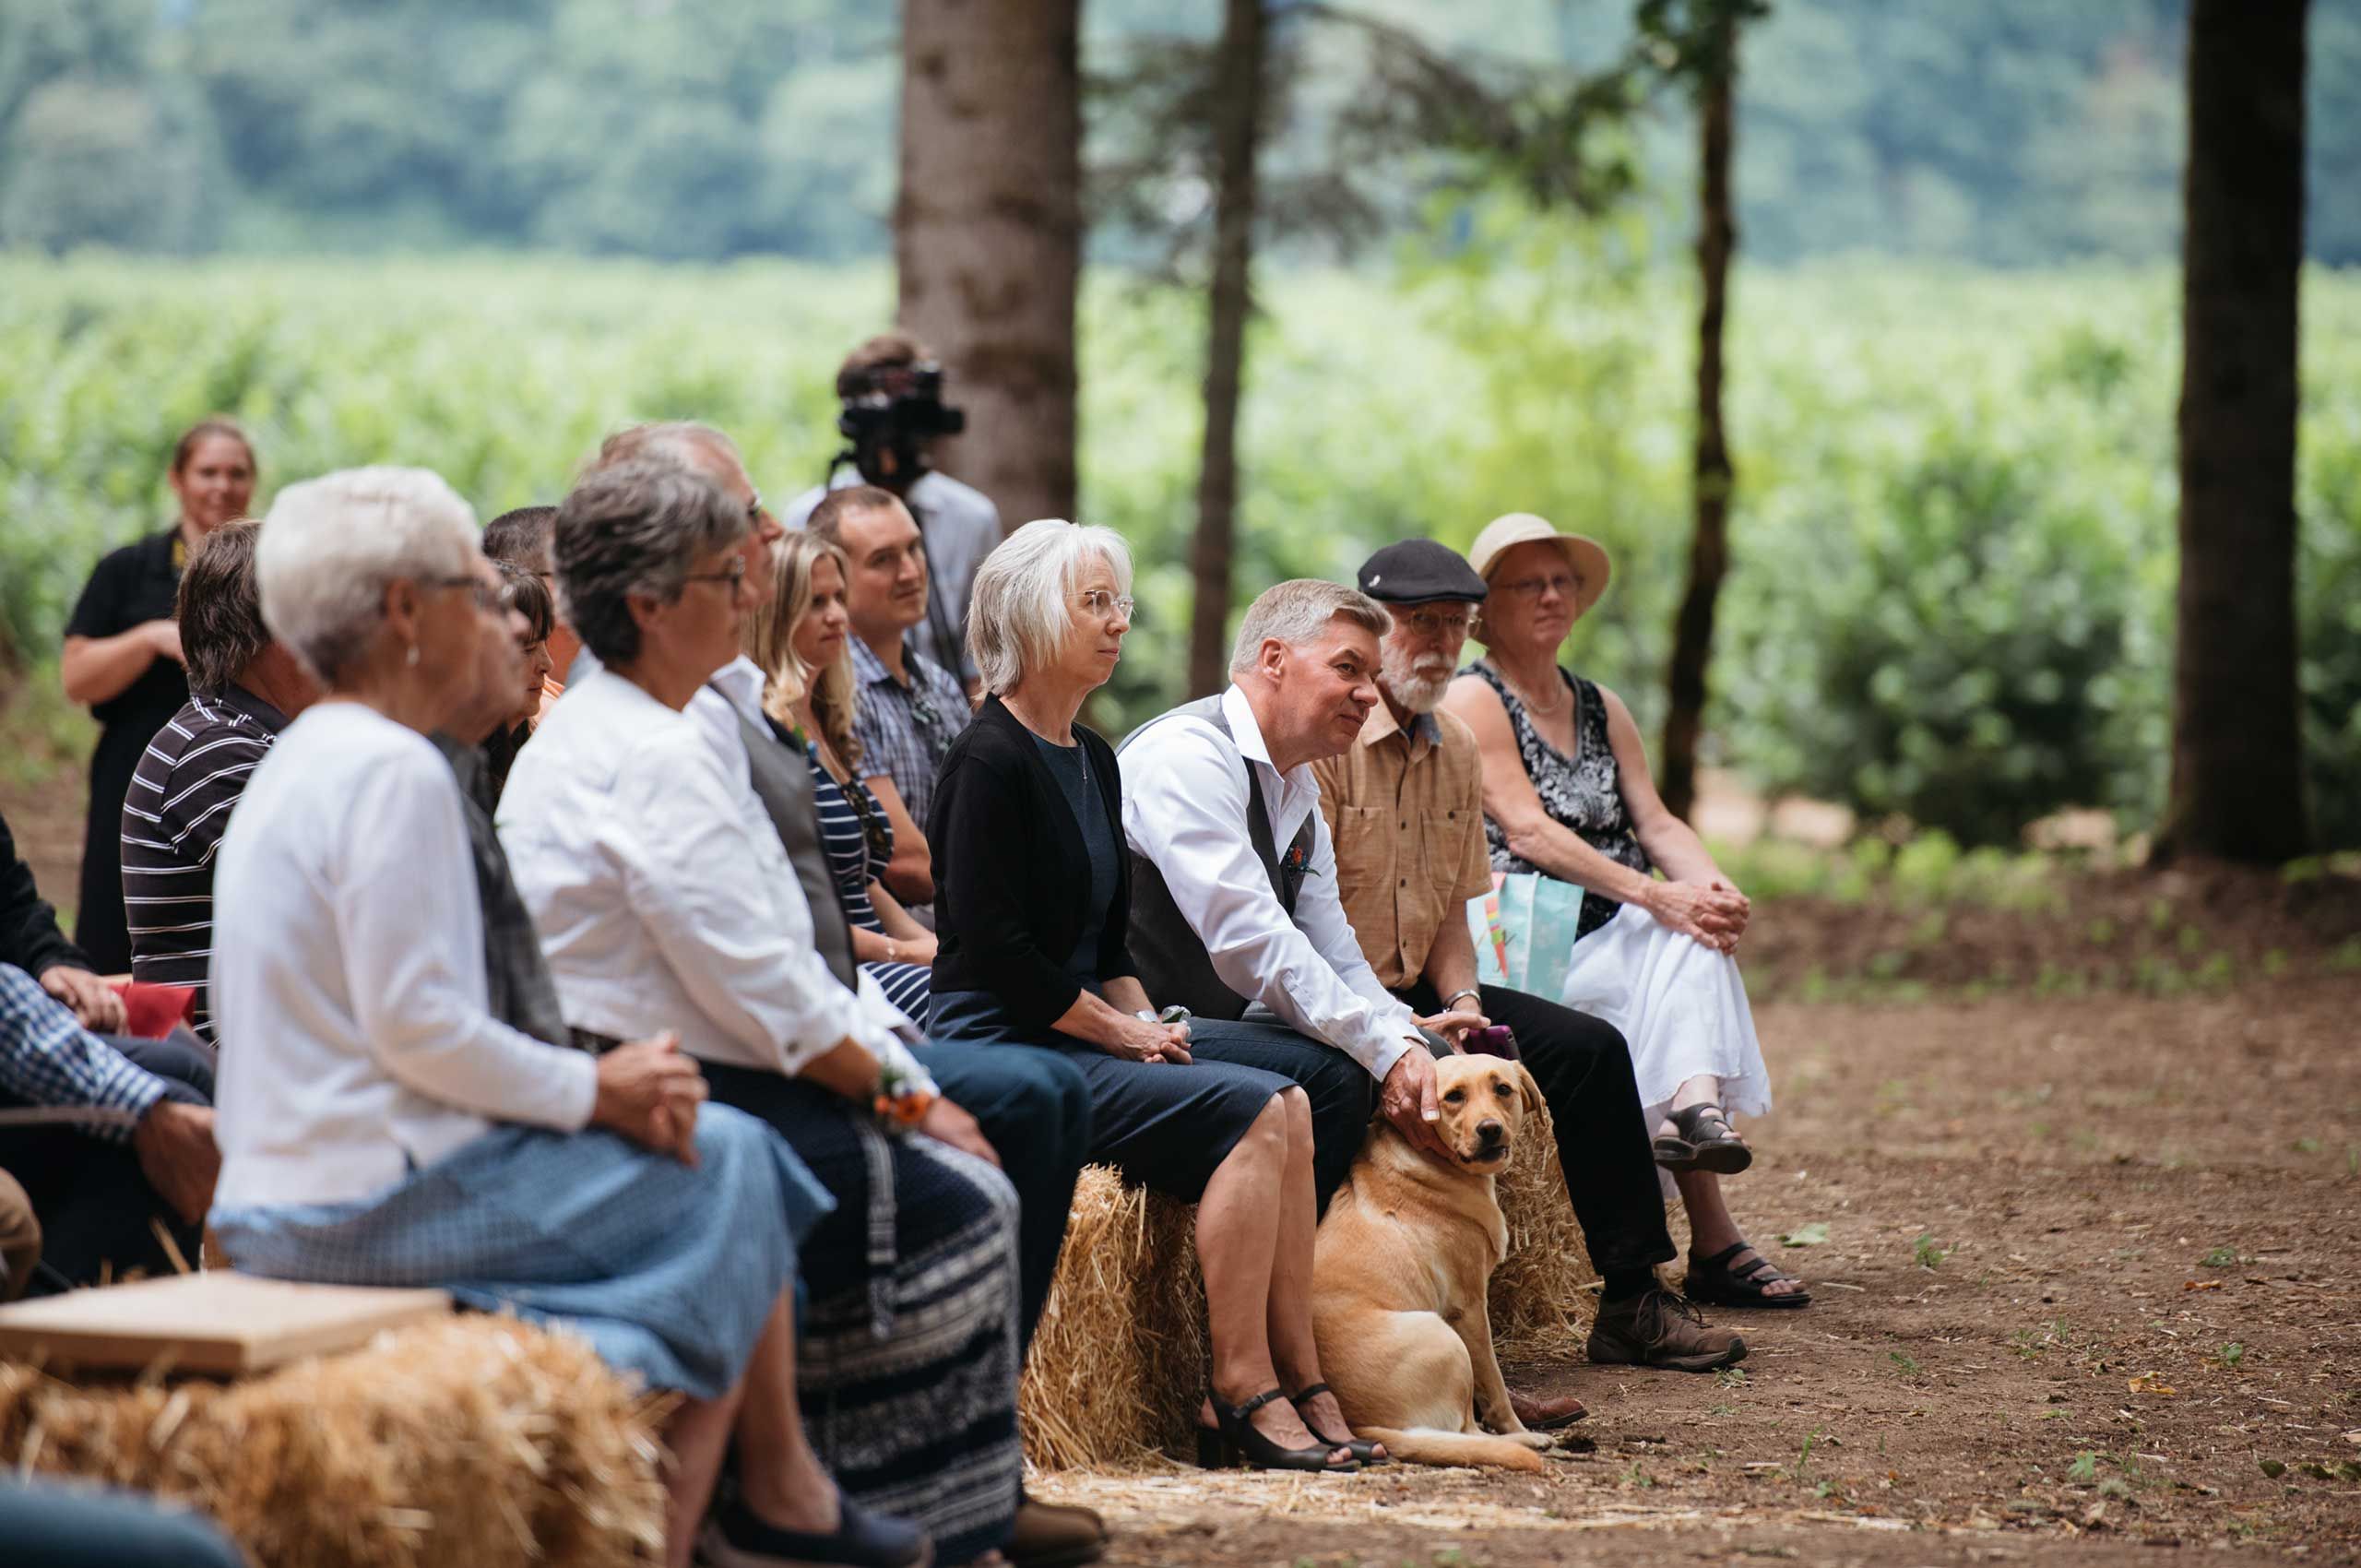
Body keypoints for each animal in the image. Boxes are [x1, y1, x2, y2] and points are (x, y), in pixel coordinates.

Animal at [1322, 1052, 1558, 1473]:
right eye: (1453, 1097)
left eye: (1503, 1089)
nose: (1491, 1130)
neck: (1432, 1164)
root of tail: (1358, 1426)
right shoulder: (1469, 1307)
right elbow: (1494, 1386)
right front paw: (1517, 1426)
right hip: (1446, 1339)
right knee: (1468, 1432)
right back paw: (1523, 1440)